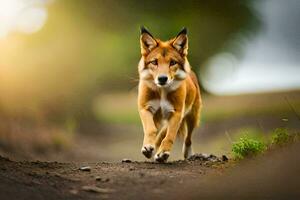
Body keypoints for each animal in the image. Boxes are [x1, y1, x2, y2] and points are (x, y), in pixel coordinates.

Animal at [138, 26, 202, 162]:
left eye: (172, 62)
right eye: (154, 62)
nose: (162, 78)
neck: (162, 91)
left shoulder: (176, 112)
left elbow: (169, 136)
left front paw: (163, 153)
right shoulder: (145, 108)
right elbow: (151, 129)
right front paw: (148, 147)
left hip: (192, 116)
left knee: (188, 137)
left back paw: (187, 153)